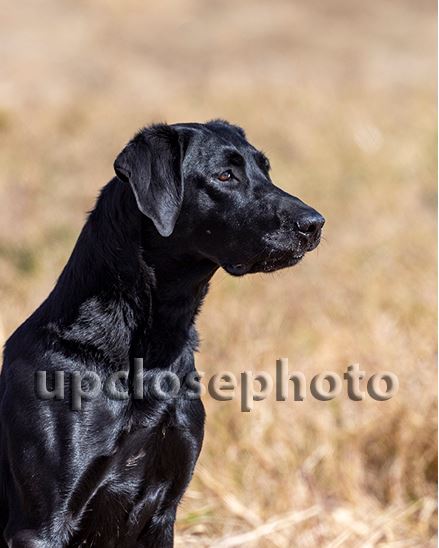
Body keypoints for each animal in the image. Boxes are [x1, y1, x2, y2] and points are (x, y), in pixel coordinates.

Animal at [0, 121, 324, 548]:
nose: (314, 223)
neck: (149, 350)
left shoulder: (163, 510)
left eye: (265, 170)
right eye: (225, 175)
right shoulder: (41, 525)